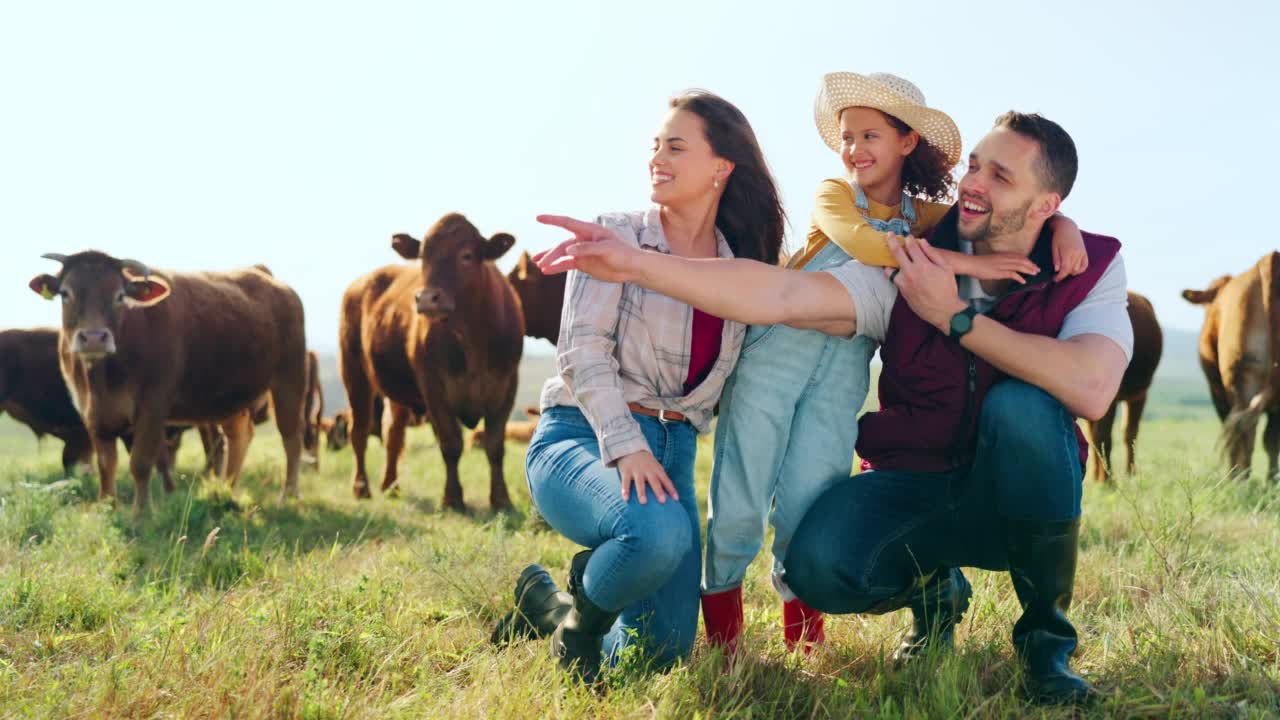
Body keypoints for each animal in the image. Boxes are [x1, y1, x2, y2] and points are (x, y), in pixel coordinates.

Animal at [28, 252, 308, 509]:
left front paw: (142, 516)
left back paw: (288, 497)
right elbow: (107, 465)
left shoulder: (153, 406)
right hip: (232, 398)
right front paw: (107, 508)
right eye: (66, 293)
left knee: (291, 438)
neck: (102, 379)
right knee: (239, 436)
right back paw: (226, 491)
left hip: (289, 380)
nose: (94, 338)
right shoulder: (92, 414)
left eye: (120, 296)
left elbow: (141, 463)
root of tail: (264, 275)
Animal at [340, 210, 524, 507]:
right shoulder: (434, 389)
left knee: (393, 434)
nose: (427, 299)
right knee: (359, 431)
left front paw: (501, 499)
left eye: (466, 255)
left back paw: (391, 485)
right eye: (423, 256)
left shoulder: (506, 387)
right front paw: (452, 498)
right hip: (354, 373)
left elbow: (495, 446)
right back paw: (361, 487)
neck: (471, 339)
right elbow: (451, 444)